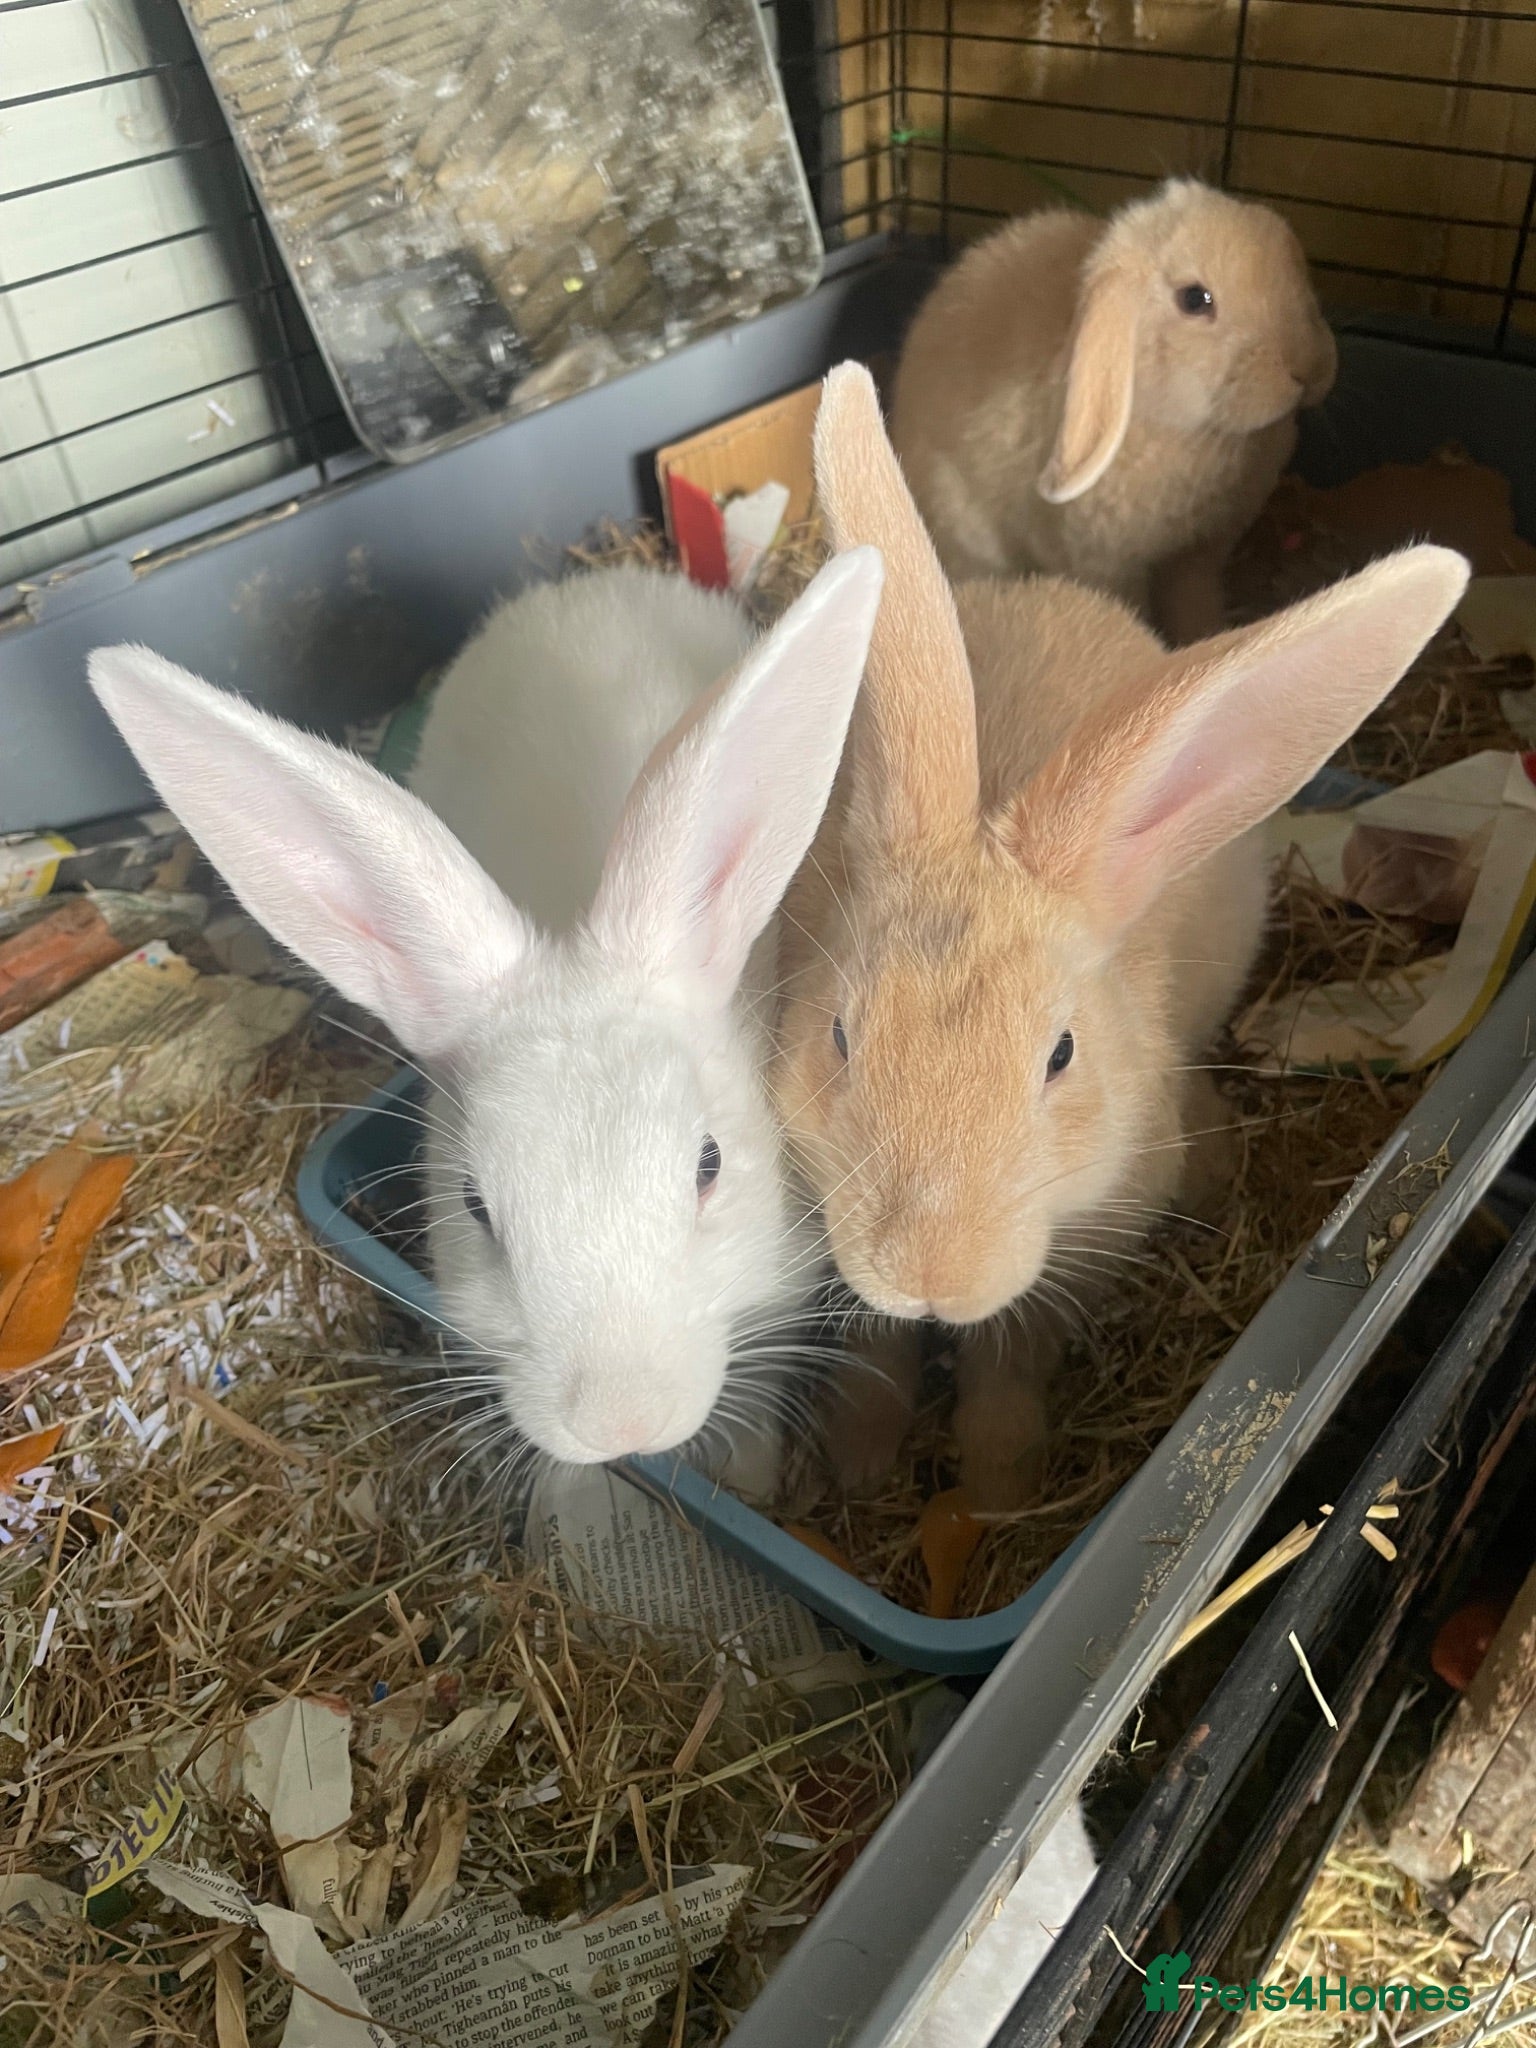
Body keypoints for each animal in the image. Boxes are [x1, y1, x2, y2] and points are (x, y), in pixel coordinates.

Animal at [772, 363, 1467, 1509]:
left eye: (1060, 1055)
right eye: (839, 1034)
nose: (931, 1272)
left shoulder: (1080, 1250)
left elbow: (1012, 1357)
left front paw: (999, 1482)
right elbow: (875, 1350)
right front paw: (863, 1466)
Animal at [889, 180, 1338, 644]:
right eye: (1195, 300)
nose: (1308, 369)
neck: (1186, 430)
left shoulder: (1196, 557)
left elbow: (1194, 606)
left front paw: (1205, 637)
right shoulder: (1109, 565)